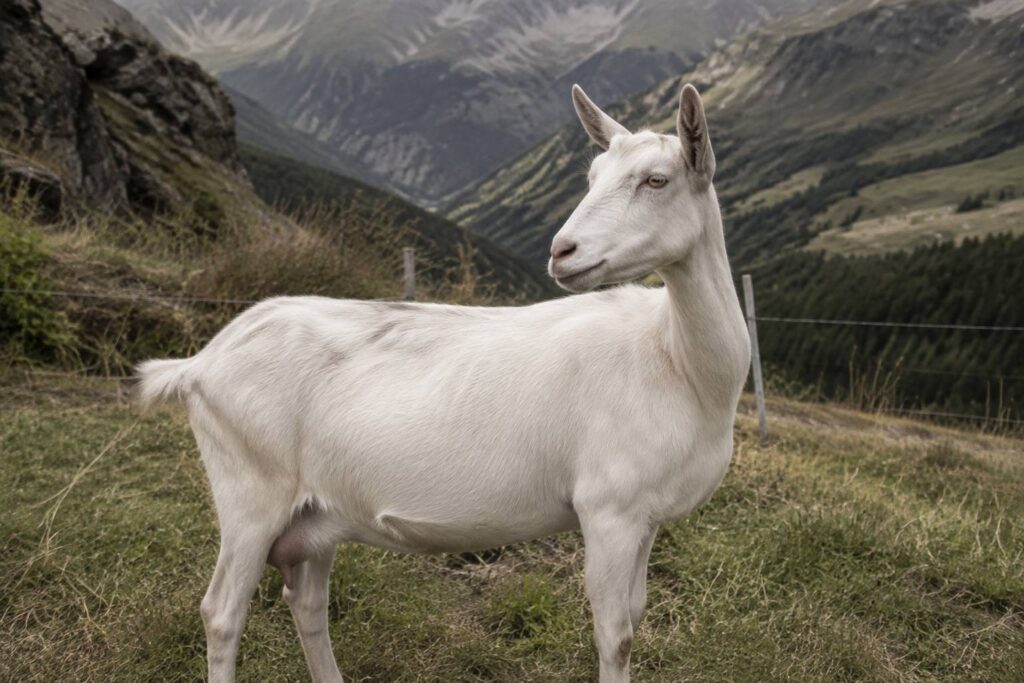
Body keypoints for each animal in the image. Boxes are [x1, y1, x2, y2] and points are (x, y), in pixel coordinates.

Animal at [137, 82, 750, 683]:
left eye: (656, 180)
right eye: (591, 176)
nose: (562, 251)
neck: (677, 361)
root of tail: (201, 362)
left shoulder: (645, 516)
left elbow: (637, 617)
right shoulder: (608, 508)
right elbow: (616, 637)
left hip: (313, 512)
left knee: (306, 601)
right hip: (249, 490)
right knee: (221, 613)